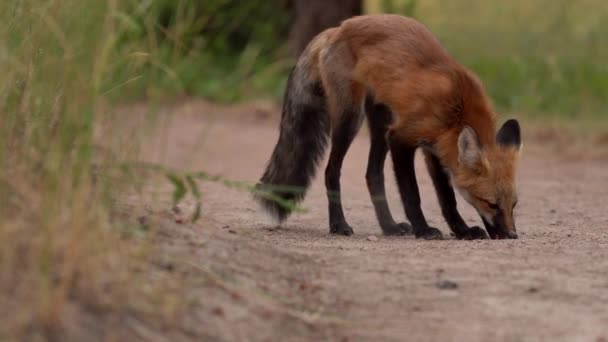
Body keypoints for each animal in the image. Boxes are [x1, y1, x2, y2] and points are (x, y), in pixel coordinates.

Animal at [254, 14, 520, 239]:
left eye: (514, 204)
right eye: (491, 203)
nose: (511, 235)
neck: (457, 107)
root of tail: (337, 28)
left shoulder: (435, 150)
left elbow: (447, 199)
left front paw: (462, 231)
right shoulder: (401, 138)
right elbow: (412, 194)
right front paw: (423, 229)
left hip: (380, 124)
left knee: (372, 174)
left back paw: (389, 226)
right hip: (352, 119)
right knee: (331, 171)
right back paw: (339, 224)